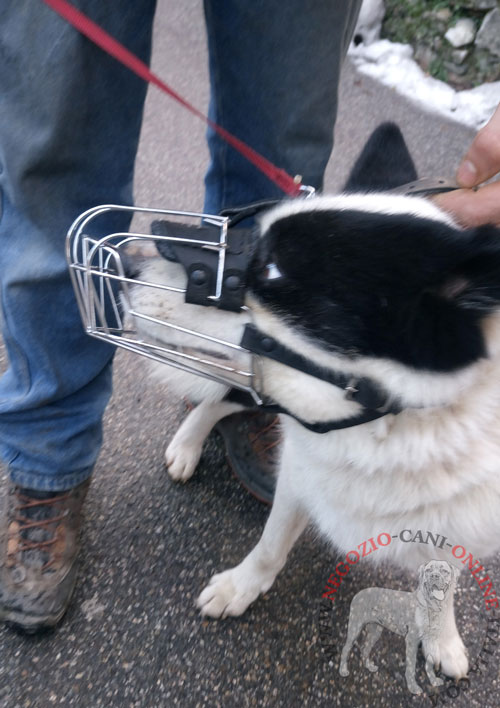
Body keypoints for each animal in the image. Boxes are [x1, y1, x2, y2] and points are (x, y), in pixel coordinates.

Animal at [129, 123, 500, 680]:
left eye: (272, 272)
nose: (129, 264)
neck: (394, 435)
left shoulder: (463, 525)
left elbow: (447, 575)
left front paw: (441, 637)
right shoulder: (300, 474)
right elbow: (269, 547)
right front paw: (240, 588)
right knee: (221, 399)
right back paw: (189, 443)